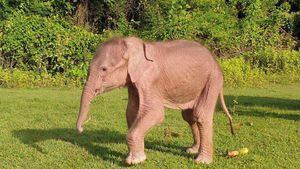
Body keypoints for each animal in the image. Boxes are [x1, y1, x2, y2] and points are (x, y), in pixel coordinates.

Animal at [75, 36, 234, 165]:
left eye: (103, 69)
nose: (82, 129)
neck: (133, 44)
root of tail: (215, 60)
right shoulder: (134, 82)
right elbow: (132, 112)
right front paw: (136, 156)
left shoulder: (150, 79)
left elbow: (154, 113)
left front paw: (134, 161)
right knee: (189, 116)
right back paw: (192, 150)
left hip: (212, 79)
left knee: (201, 114)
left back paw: (202, 161)